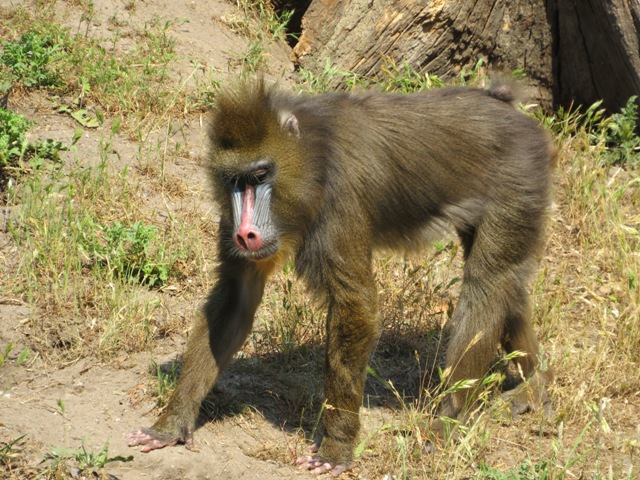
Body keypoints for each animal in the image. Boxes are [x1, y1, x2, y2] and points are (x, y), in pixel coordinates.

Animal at [126, 79, 554, 475]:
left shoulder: (340, 198)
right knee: (510, 287)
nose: (245, 233)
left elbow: (356, 306)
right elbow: (236, 296)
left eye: (261, 174)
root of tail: (509, 109)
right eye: (235, 181)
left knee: (488, 283)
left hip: (520, 179)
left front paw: (335, 448)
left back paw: (449, 421)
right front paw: (171, 423)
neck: (312, 153)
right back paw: (533, 385)